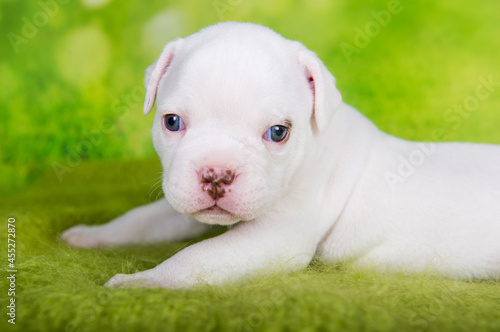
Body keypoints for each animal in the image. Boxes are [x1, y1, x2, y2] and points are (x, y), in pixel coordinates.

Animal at [62, 21, 500, 288]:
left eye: (278, 133)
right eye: (172, 122)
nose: (216, 174)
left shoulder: (274, 238)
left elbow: (196, 259)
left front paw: (144, 283)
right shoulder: (180, 203)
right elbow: (143, 220)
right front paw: (93, 235)